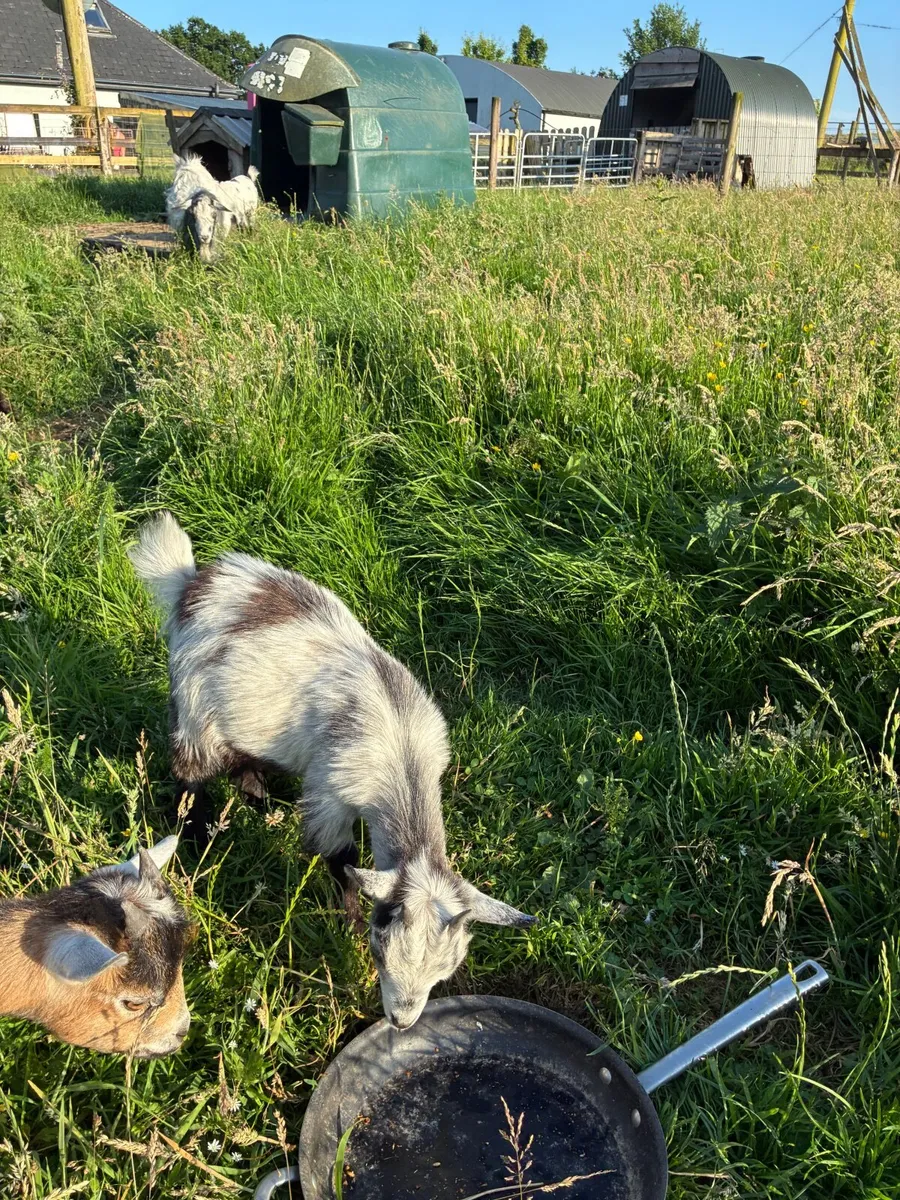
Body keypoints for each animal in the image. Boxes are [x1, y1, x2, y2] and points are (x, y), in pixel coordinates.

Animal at [129, 514, 534, 1031]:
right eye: (381, 953)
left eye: (445, 971)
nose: (401, 1021)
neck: (401, 751)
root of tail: (193, 582)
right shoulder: (329, 794)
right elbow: (340, 861)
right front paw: (349, 922)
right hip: (195, 709)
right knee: (191, 776)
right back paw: (200, 838)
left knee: (243, 762)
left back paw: (261, 801)